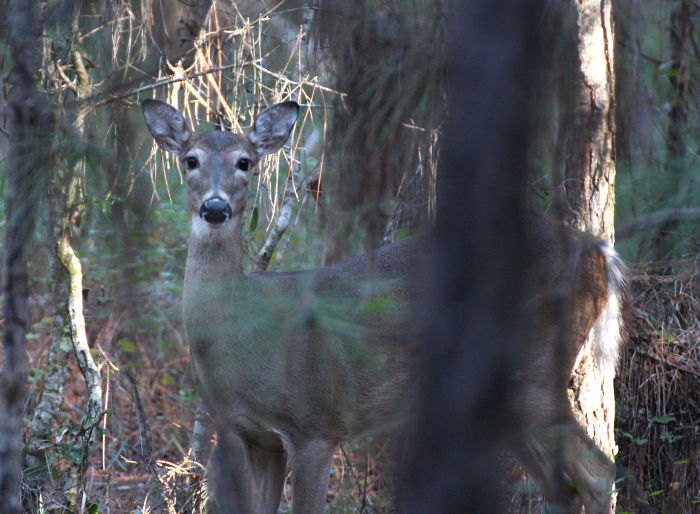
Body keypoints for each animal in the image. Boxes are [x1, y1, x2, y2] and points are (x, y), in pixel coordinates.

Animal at [144, 98, 628, 510]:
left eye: (245, 162)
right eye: (191, 160)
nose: (215, 207)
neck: (243, 332)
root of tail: (597, 251)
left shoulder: (315, 423)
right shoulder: (255, 436)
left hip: (538, 367)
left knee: (598, 472)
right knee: (563, 485)